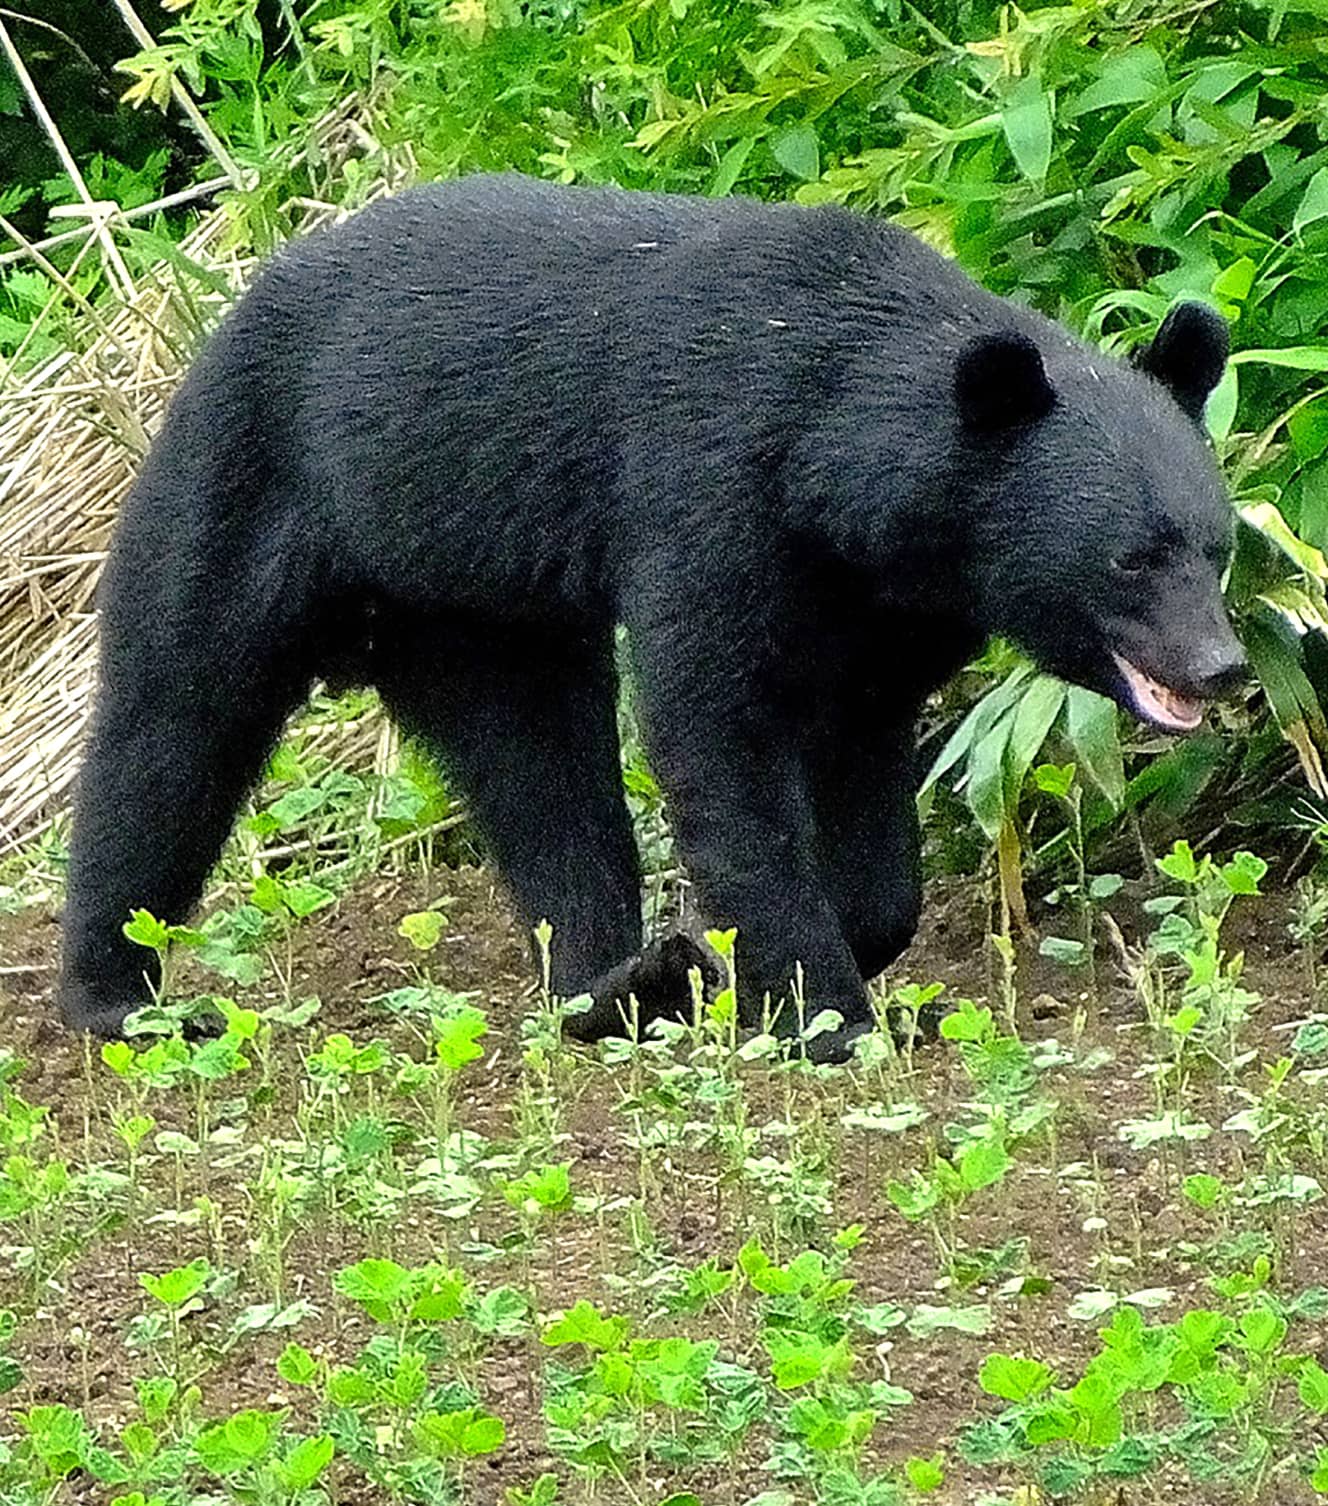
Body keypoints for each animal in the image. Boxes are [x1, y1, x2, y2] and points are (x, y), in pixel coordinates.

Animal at [59, 173, 1240, 1060]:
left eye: (1217, 544)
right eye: (1131, 558)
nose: (1222, 665)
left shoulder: (887, 614)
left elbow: (861, 761)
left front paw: (823, 951)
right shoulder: (709, 488)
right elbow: (717, 727)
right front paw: (823, 1013)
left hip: (474, 605)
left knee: (538, 769)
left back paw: (618, 982)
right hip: (246, 482)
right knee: (175, 719)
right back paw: (117, 996)